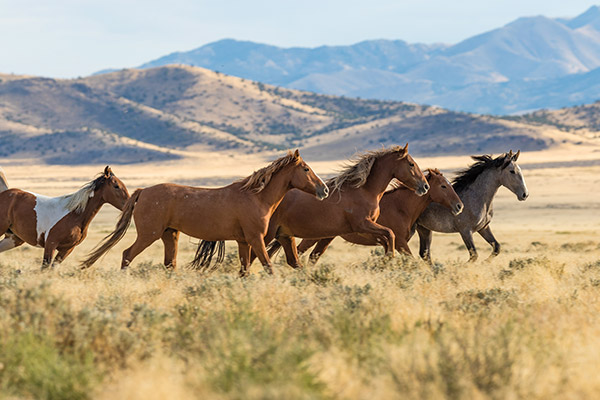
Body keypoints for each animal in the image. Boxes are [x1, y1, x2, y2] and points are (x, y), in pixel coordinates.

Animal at [0, 166, 130, 268]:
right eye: (116, 186)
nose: (129, 203)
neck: (75, 215)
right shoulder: (51, 244)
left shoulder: (66, 249)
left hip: (14, 238)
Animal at [81, 150, 328, 276]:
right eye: (306, 169)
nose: (324, 190)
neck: (256, 196)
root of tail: (143, 192)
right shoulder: (256, 238)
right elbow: (268, 267)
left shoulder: (244, 241)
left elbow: (245, 270)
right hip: (148, 235)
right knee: (127, 255)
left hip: (170, 235)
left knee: (170, 264)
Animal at [294, 169, 464, 262]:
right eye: (443, 186)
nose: (459, 206)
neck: (401, 207)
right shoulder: (400, 242)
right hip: (314, 236)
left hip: (326, 237)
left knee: (312, 256)